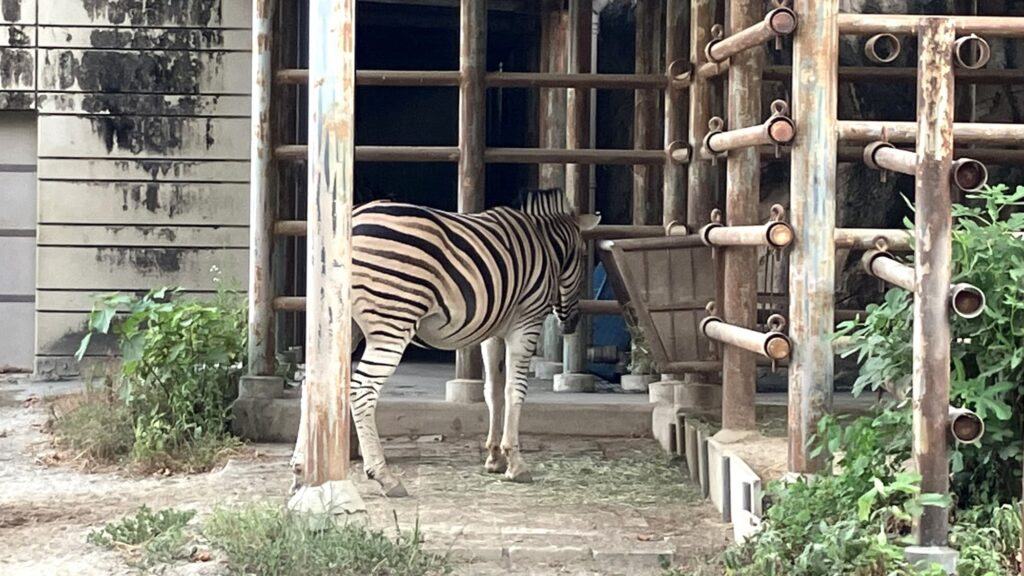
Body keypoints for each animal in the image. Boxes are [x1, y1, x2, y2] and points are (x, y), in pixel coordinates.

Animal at [288, 187, 598, 494]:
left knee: (313, 385)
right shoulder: (526, 323)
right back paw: (384, 476)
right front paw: (516, 463)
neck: (545, 245)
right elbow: (515, 390)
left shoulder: (493, 332)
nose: (571, 324)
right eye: (583, 256)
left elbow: (494, 392)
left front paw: (495, 457)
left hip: (344, 325)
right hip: (393, 321)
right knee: (362, 390)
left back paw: (301, 471)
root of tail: (354, 218)